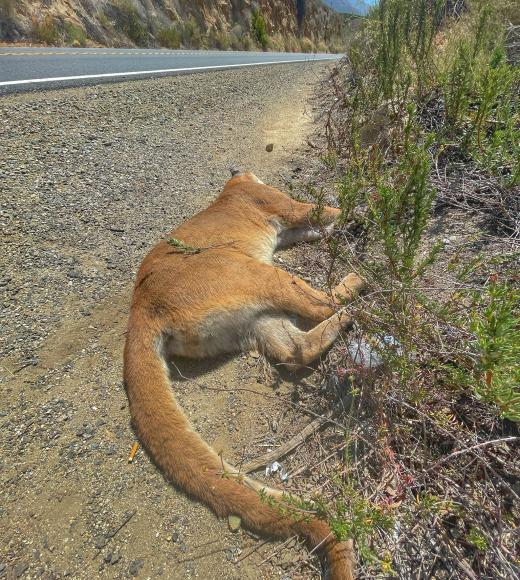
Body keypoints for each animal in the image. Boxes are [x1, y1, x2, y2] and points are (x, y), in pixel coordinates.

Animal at [123, 170, 364, 576]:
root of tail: (142, 309)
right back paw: (359, 287)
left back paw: (348, 313)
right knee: (319, 306)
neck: (232, 190)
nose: (240, 173)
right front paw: (365, 206)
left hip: (255, 317)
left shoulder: (292, 227)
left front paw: (350, 220)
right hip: (259, 275)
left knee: (296, 350)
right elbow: (323, 209)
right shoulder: (283, 206)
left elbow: (321, 224)